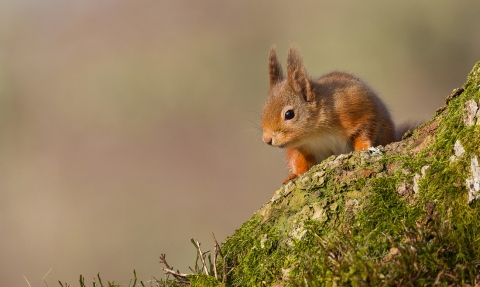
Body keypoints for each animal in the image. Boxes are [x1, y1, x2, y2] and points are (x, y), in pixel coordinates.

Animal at [262, 46, 408, 183]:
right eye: (263, 111)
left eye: (289, 114)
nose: (267, 139)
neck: (317, 133)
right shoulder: (299, 147)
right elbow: (298, 160)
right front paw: (295, 174)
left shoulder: (357, 108)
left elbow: (366, 127)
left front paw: (363, 147)